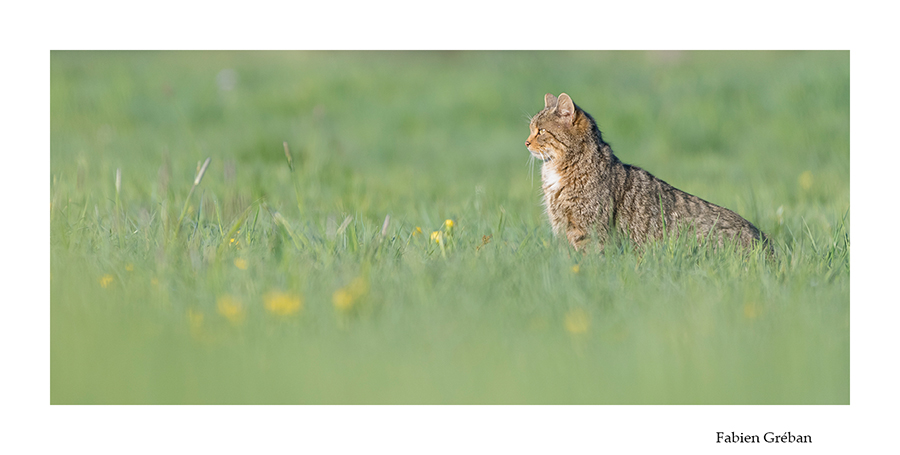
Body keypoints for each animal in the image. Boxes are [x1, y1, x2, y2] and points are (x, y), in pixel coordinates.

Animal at [524, 93, 768, 255]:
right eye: (530, 129)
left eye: (541, 131)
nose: (526, 142)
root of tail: (768, 245)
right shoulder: (562, 227)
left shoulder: (588, 229)